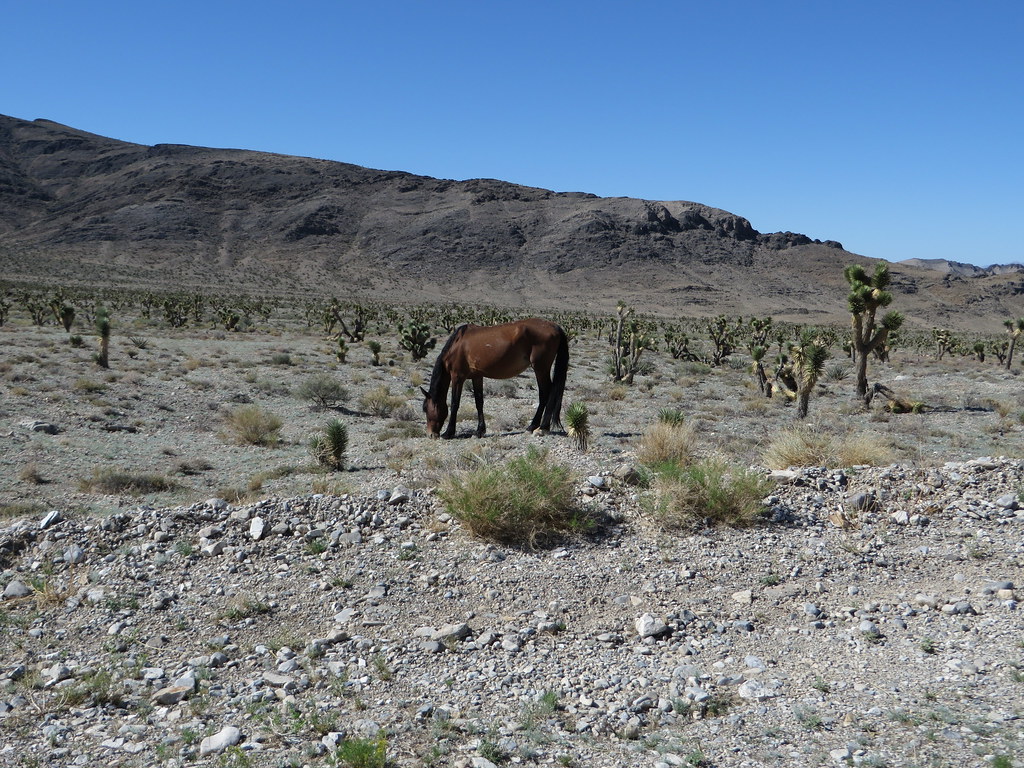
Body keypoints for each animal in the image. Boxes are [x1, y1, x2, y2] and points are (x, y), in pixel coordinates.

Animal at [421, 318, 569, 439]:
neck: (457, 345)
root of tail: (555, 326)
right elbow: (479, 402)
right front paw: (479, 431)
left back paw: (541, 428)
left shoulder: (457, 377)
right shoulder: (477, 377)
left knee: (546, 392)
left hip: (540, 368)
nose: (431, 434)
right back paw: (535, 426)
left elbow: (454, 403)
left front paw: (448, 432)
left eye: (425, 408)